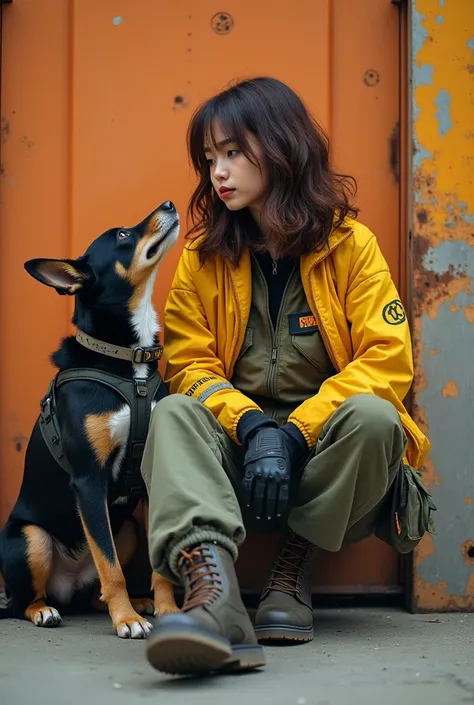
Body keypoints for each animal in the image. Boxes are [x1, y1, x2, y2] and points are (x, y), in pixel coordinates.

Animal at [0, 199, 180, 640]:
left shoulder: (153, 473)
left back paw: (136, 601)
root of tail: (68, 585)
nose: (169, 204)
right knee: (27, 600)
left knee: (95, 586)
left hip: (126, 527)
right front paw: (127, 621)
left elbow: (154, 564)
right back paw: (46, 610)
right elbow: (111, 568)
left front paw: (166, 608)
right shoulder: (88, 480)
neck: (129, 363)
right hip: (31, 538)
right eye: (122, 235)